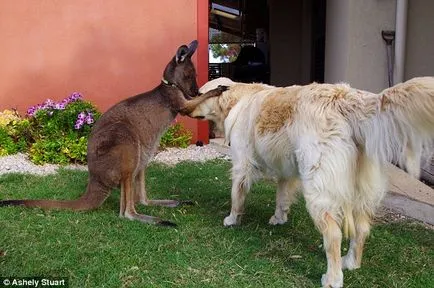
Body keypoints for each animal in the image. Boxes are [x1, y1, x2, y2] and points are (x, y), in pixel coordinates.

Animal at [189, 77, 434, 288]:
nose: (186, 108)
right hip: (361, 189)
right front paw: (279, 218)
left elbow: (236, 196)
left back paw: (333, 278)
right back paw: (351, 262)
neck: (239, 97)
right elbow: (281, 197)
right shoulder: (286, 171)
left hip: (319, 190)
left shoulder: (241, 163)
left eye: (199, 94)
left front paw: (232, 219)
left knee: (333, 235)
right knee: (362, 229)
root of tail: (346, 97)